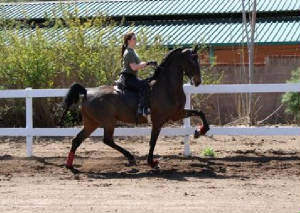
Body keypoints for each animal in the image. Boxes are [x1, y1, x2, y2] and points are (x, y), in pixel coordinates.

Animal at [62, 45, 210, 169]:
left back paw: (69, 165)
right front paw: (152, 162)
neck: (166, 87)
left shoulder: (177, 114)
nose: (198, 81)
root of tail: (87, 93)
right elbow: (153, 141)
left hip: (91, 123)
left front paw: (200, 131)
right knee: (107, 140)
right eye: (192, 60)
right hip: (108, 122)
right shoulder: (158, 120)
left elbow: (200, 112)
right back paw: (130, 157)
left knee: (77, 140)